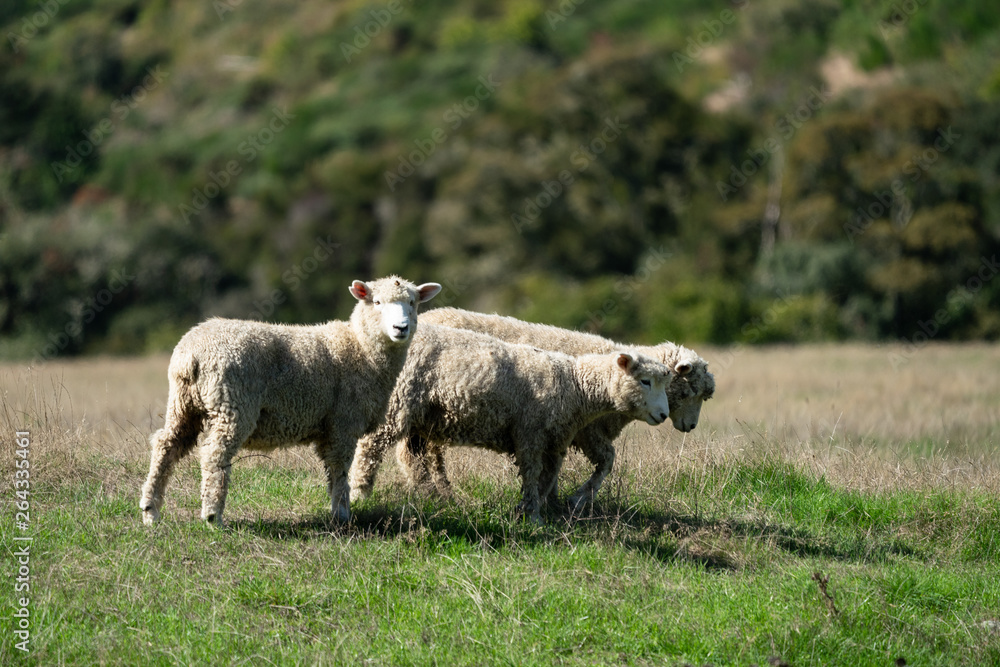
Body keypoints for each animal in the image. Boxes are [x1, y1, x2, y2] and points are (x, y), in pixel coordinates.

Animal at [139, 276, 442, 527]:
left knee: (167, 444)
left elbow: (332, 471)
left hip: (183, 403)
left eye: (412, 303)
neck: (361, 348)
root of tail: (191, 354)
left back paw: (150, 510)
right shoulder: (343, 421)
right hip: (233, 405)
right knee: (214, 455)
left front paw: (337, 510)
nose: (401, 328)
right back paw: (213, 516)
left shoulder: (330, 426)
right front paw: (342, 514)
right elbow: (340, 469)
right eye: (377, 302)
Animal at [347, 323, 673, 522]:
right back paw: (359, 494)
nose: (663, 415)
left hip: (422, 418)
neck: (574, 385)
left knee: (415, 457)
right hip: (397, 405)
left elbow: (547, 478)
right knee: (369, 449)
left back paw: (440, 498)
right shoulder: (530, 434)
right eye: (645, 381)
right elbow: (532, 474)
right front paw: (532, 516)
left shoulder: (554, 441)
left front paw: (532, 509)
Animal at [409, 307, 715, 510]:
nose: (690, 426)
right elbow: (607, 460)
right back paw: (439, 494)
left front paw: (553, 501)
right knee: (422, 456)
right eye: (690, 391)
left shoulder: (568, 429)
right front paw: (577, 498)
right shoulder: (587, 430)